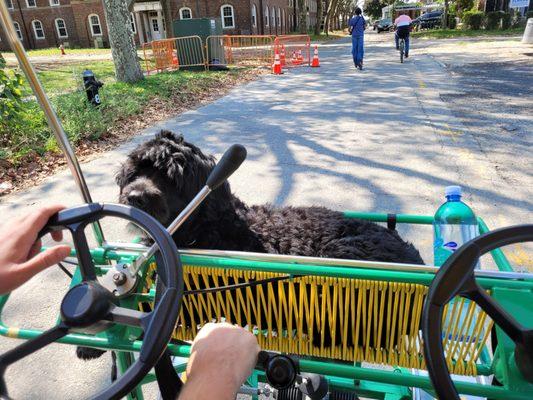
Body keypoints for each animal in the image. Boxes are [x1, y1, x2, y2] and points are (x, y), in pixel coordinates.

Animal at [77, 130, 424, 360]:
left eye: (172, 178)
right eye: (136, 170)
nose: (134, 197)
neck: (204, 227)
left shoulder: (187, 302)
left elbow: (149, 313)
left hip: (341, 256)